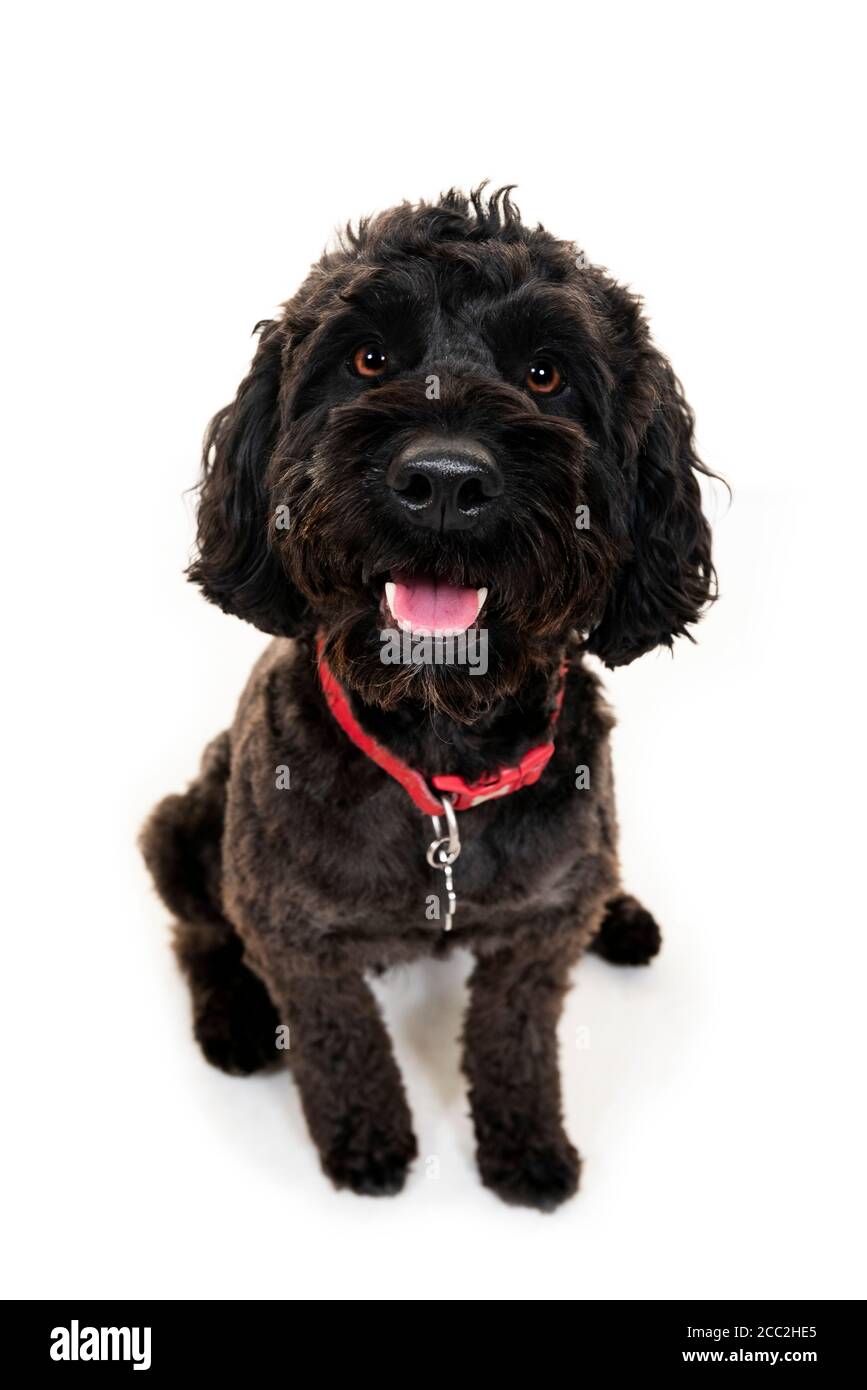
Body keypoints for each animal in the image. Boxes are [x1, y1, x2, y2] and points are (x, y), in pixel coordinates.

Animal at [140, 184, 711, 1206]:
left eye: (545, 374)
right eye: (368, 358)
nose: (444, 481)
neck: (440, 755)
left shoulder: (538, 936)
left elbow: (514, 1042)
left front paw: (526, 1147)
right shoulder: (292, 933)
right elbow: (341, 1044)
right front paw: (367, 1141)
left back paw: (622, 917)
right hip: (183, 824)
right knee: (197, 932)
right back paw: (233, 1019)